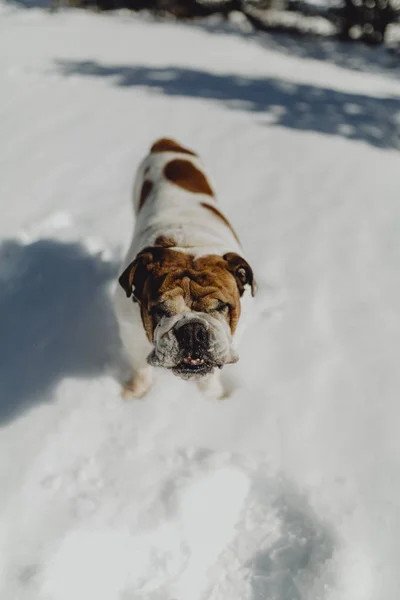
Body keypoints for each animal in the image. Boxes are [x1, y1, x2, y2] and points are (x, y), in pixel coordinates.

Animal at [114, 138, 255, 396]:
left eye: (221, 306)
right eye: (160, 310)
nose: (191, 329)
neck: (189, 245)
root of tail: (166, 143)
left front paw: (212, 397)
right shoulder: (130, 334)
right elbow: (140, 368)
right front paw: (135, 393)